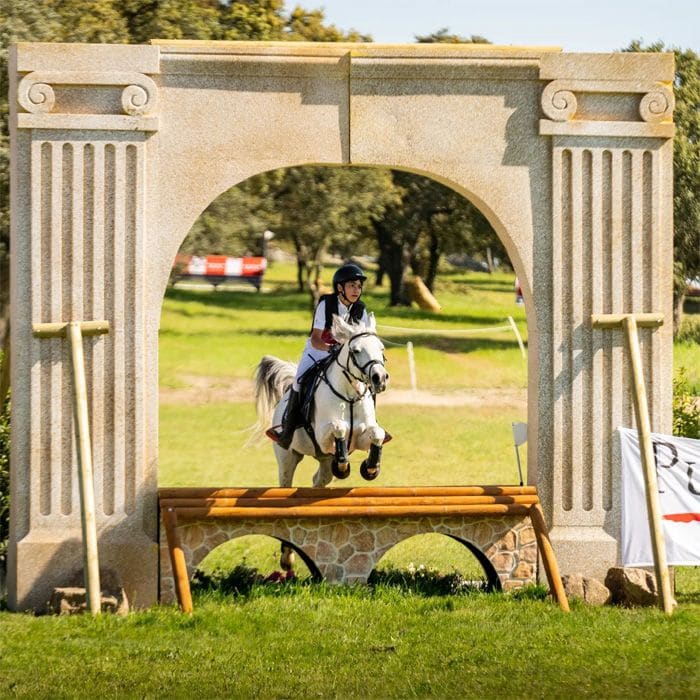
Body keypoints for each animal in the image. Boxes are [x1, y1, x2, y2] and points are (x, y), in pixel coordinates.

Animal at [254, 314, 392, 490]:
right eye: (356, 351)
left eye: (381, 349)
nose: (380, 378)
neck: (350, 397)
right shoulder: (322, 436)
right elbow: (339, 427)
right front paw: (343, 465)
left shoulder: (360, 438)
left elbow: (377, 433)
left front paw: (370, 468)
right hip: (287, 456)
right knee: (286, 479)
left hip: (324, 461)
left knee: (318, 479)